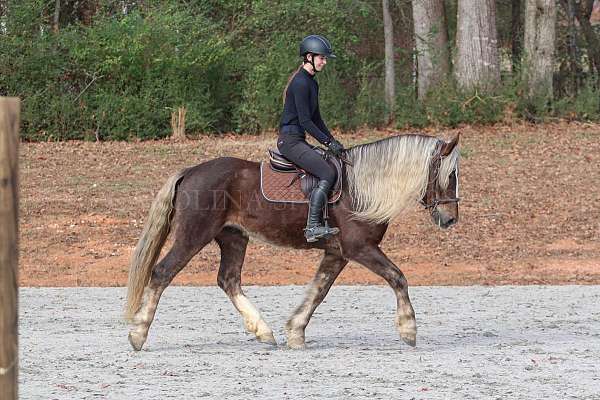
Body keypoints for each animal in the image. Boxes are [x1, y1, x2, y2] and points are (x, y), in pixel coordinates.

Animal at [125, 134, 460, 350]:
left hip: (234, 237)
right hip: (193, 236)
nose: (450, 218)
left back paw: (264, 331)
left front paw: (295, 331)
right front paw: (409, 329)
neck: (362, 187)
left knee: (228, 280)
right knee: (162, 273)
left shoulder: (337, 253)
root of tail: (191, 171)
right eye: (449, 175)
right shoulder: (360, 248)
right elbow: (397, 277)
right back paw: (138, 334)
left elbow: (318, 291)